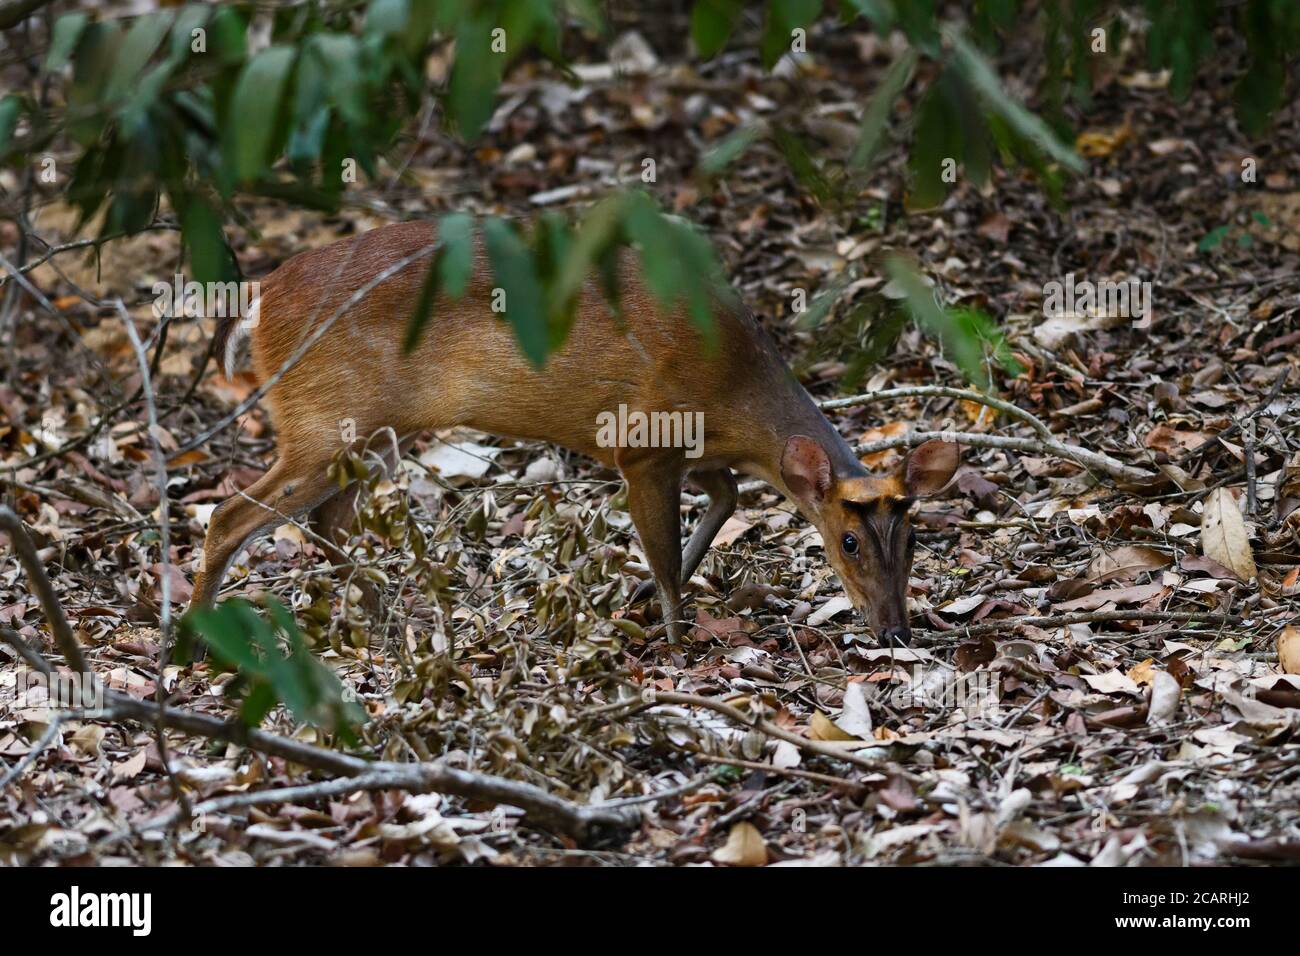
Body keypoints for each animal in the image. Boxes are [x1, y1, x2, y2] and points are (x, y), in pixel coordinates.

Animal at [195, 221, 967, 647]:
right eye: (847, 541)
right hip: (324, 420)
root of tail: (258, 300)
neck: (735, 389)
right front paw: (675, 638)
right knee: (230, 514)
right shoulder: (641, 443)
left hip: (367, 432)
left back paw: (386, 618)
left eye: (914, 538)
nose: (895, 630)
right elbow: (667, 551)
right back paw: (197, 639)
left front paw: (647, 599)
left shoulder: (693, 451)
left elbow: (723, 500)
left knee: (324, 520)